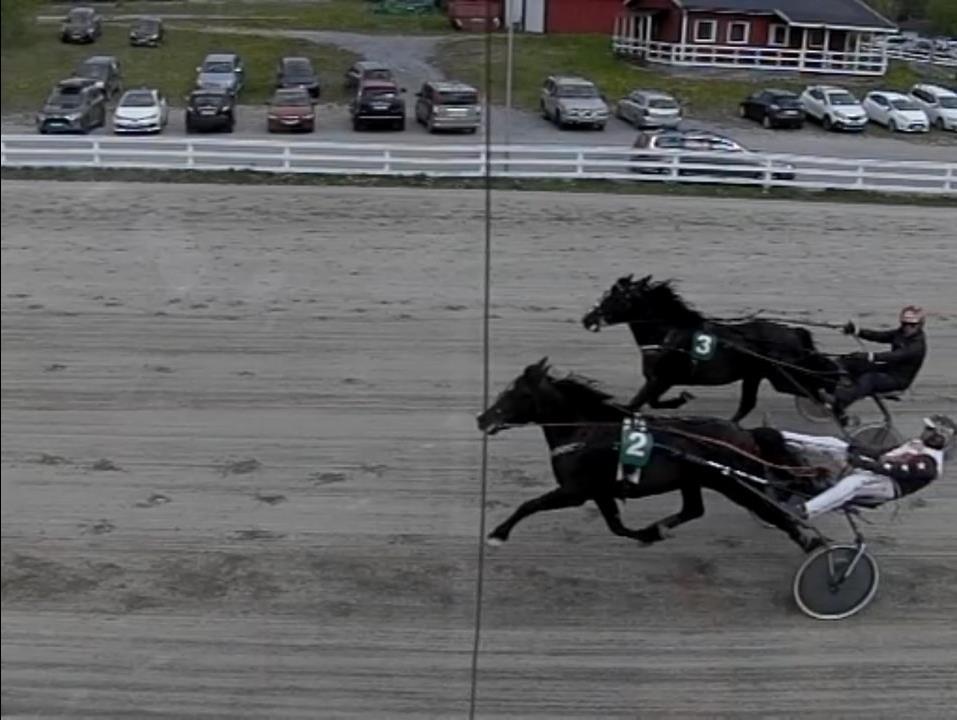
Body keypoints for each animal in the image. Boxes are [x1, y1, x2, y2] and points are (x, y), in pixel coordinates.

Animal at [478, 358, 820, 552]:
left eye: (518, 394)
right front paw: (648, 534)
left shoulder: (575, 490)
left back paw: (811, 543)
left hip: (733, 484)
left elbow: (529, 504)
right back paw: (660, 528)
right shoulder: (600, 491)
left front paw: (497, 534)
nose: (482, 419)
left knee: (770, 512)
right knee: (694, 509)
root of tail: (745, 433)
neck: (584, 431)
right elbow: (616, 526)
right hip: (694, 479)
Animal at [576, 274, 836, 422]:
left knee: (817, 387)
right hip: (755, 376)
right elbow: (651, 402)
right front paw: (681, 399)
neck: (667, 334)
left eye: (614, 299)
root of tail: (794, 332)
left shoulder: (661, 378)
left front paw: (681, 399)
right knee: (748, 405)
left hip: (782, 377)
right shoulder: (661, 381)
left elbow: (635, 404)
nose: (587, 319)